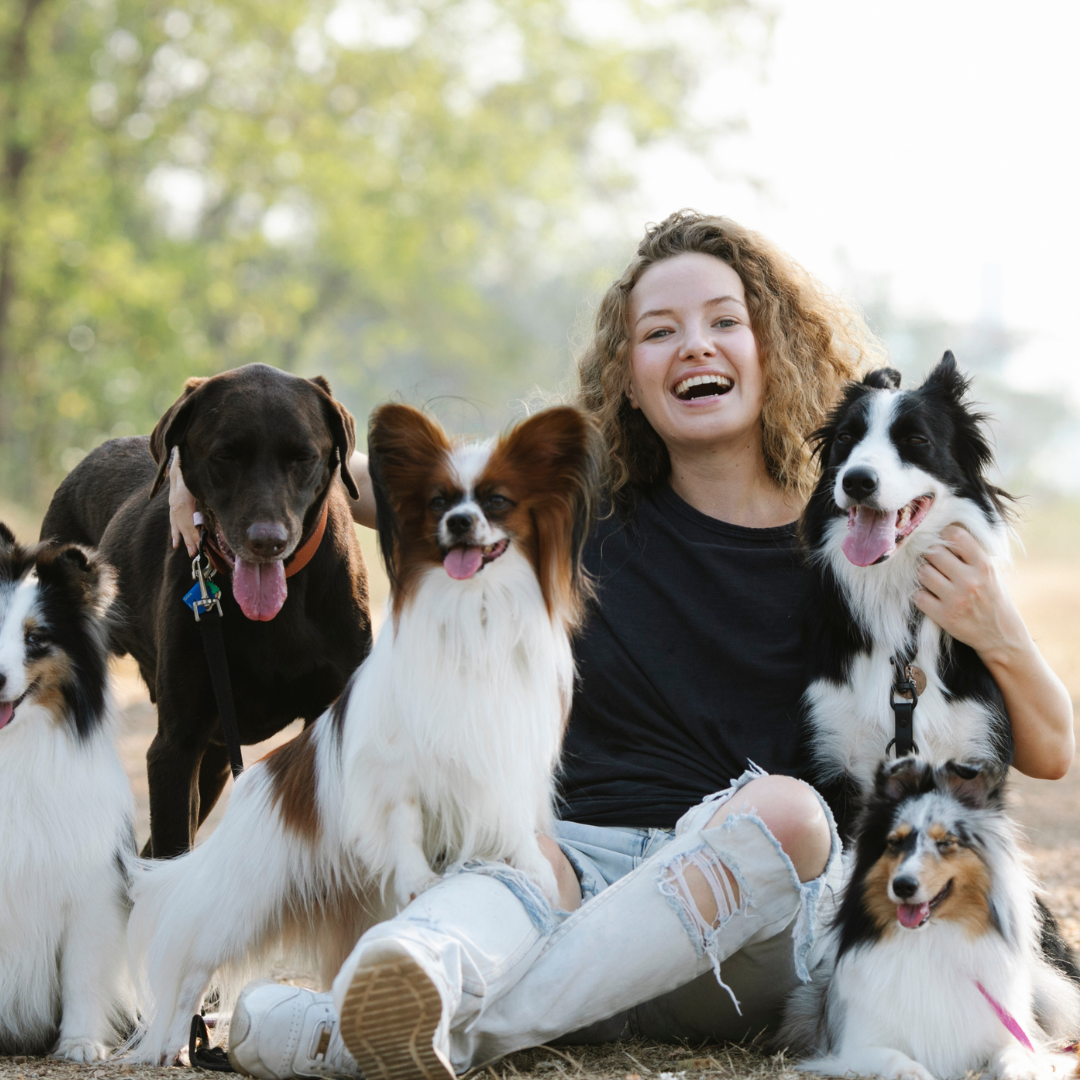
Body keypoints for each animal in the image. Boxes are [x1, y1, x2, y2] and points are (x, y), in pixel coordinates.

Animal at [128, 403, 600, 1062]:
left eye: (499, 501)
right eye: (438, 502)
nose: (459, 523)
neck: (474, 612)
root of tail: (257, 783)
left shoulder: (505, 756)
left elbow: (512, 823)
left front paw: (530, 869)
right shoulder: (394, 770)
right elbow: (404, 822)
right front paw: (420, 877)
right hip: (243, 903)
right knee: (192, 964)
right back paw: (172, 1043)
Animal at [786, 760, 1080, 1080]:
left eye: (946, 843)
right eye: (894, 843)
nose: (903, 886)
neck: (930, 939)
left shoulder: (1004, 1032)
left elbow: (1014, 1054)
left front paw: (1022, 1070)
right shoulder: (856, 1047)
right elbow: (896, 1059)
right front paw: (914, 1072)